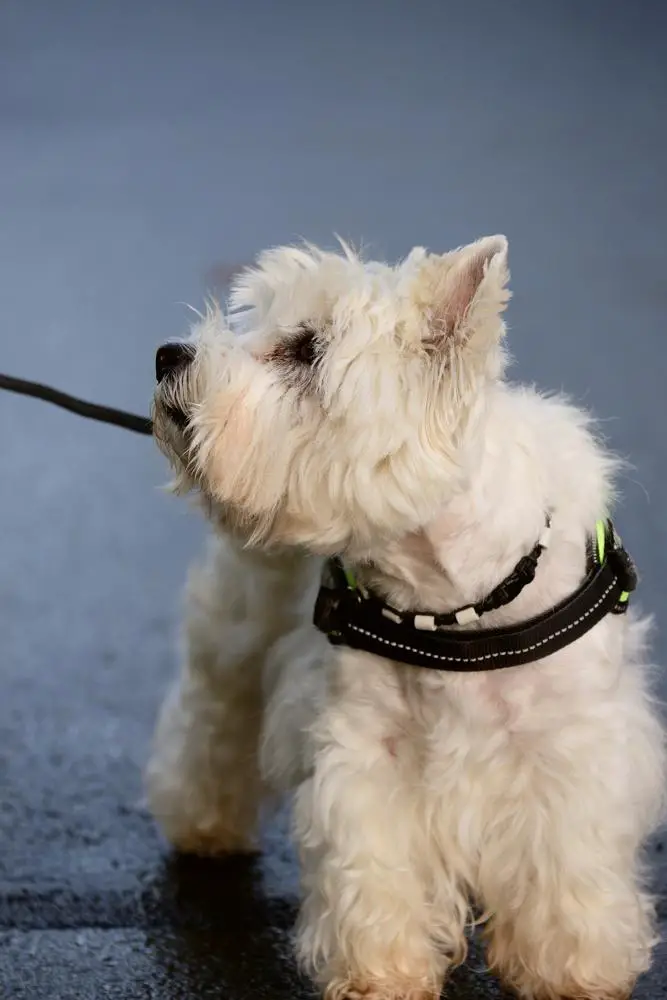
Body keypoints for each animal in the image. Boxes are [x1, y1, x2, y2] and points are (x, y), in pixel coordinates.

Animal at [147, 236, 667, 1000]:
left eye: (305, 348)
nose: (167, 355)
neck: (453, 602)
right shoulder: (366, 750)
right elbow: (373, 869)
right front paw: (380, 972)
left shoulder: (567, 749)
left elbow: (565, 865)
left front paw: (571, 971)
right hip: (237, 634)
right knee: (211, 721)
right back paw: (203, 824)